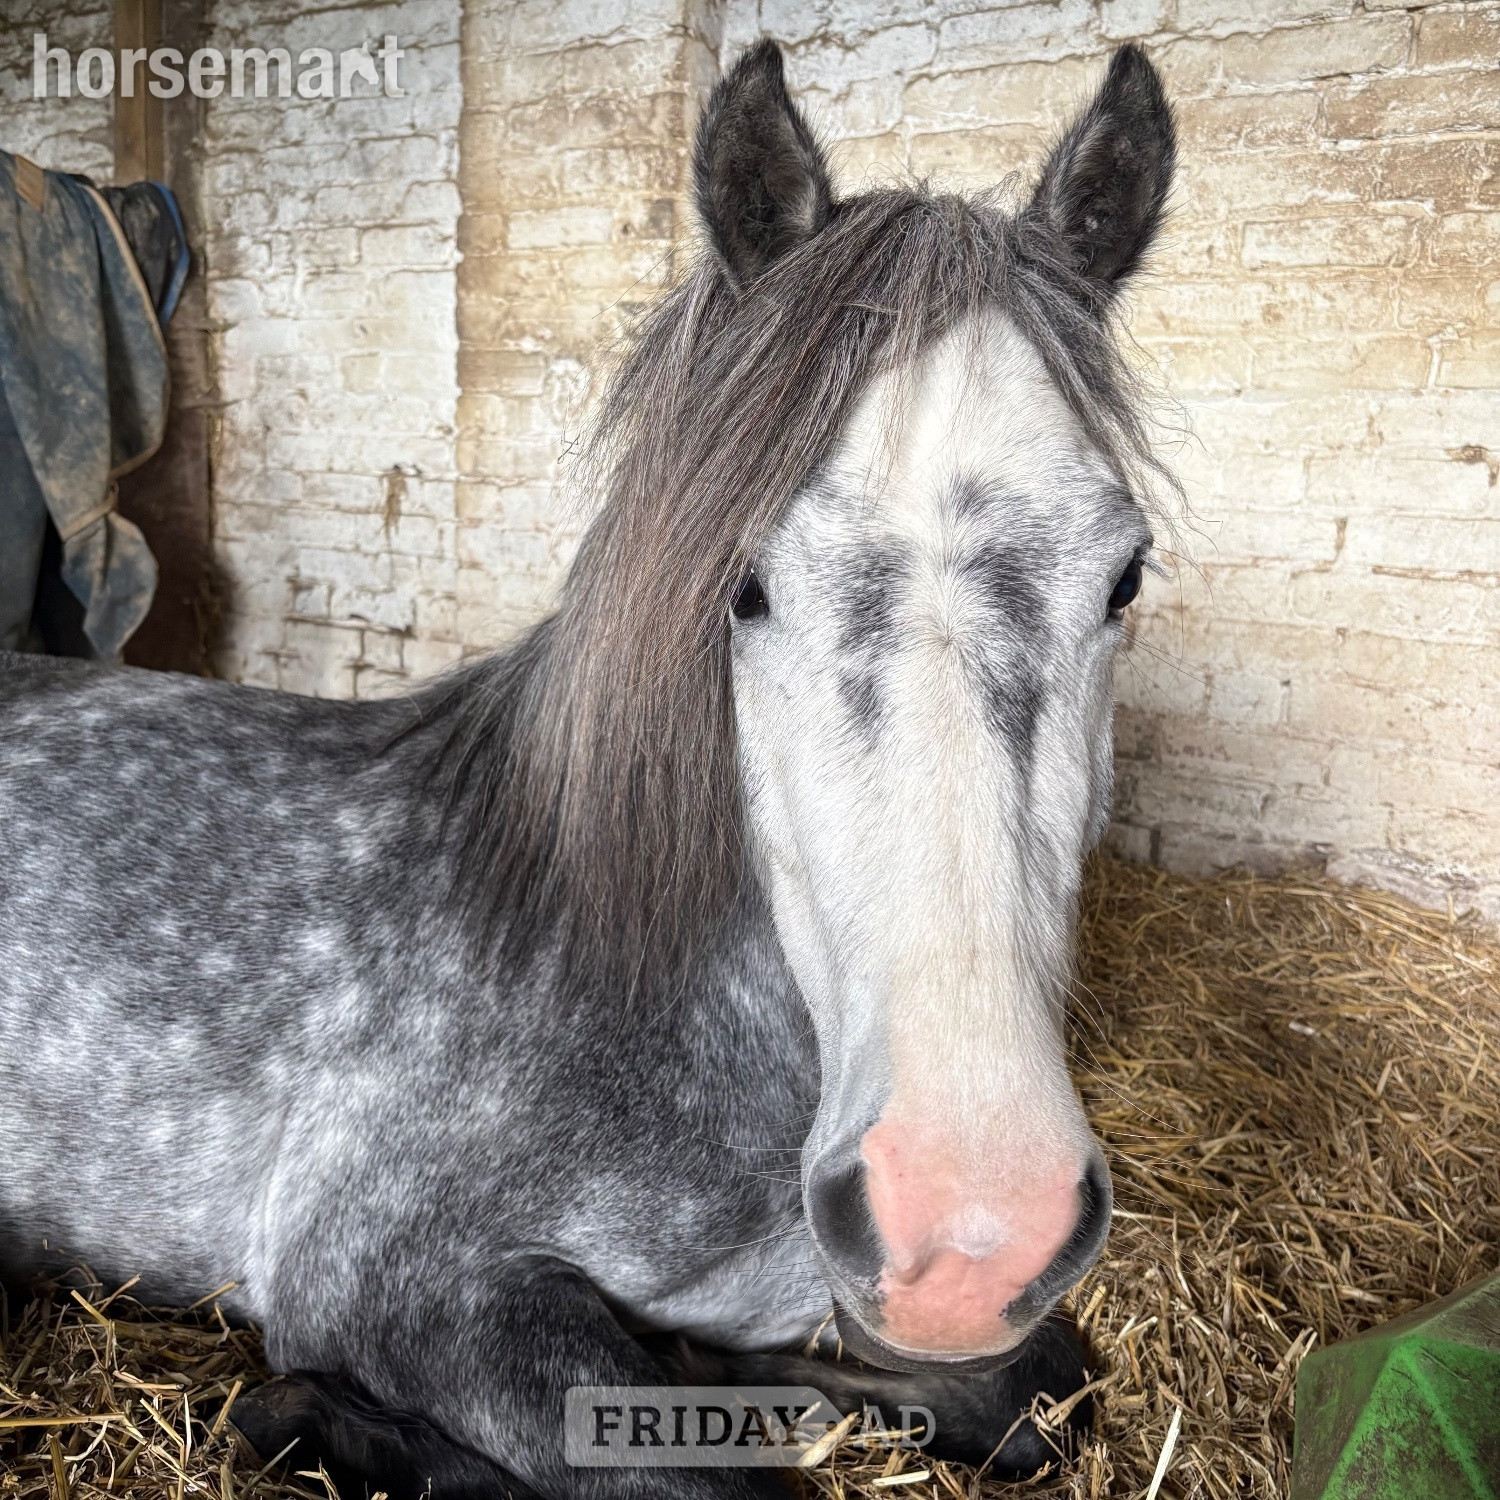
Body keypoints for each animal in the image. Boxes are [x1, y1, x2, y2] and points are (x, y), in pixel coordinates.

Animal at [0, 39, 1175, 1500]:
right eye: (744, 587)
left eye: (1125, 577)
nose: (967, 1228)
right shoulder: (393, 1275)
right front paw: (322, 1422)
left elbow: (1036, 1387)